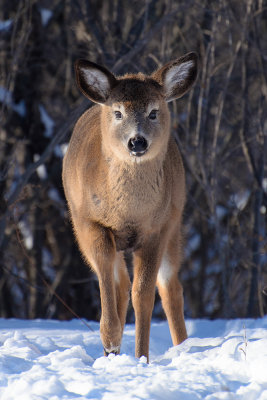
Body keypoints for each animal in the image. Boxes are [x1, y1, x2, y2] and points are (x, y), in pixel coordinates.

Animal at [61, 51, 198, 360]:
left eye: (153, 112)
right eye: (118, 113)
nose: (137, 141)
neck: (127, 213)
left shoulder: (156, 230)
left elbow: (143, 295)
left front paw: (141, 357)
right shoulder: (90, 222)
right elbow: (108, 283)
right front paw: (111, 339)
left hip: (175, 226)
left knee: (170, 287)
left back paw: (182, 347)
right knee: (119, 284)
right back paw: (111, 352)